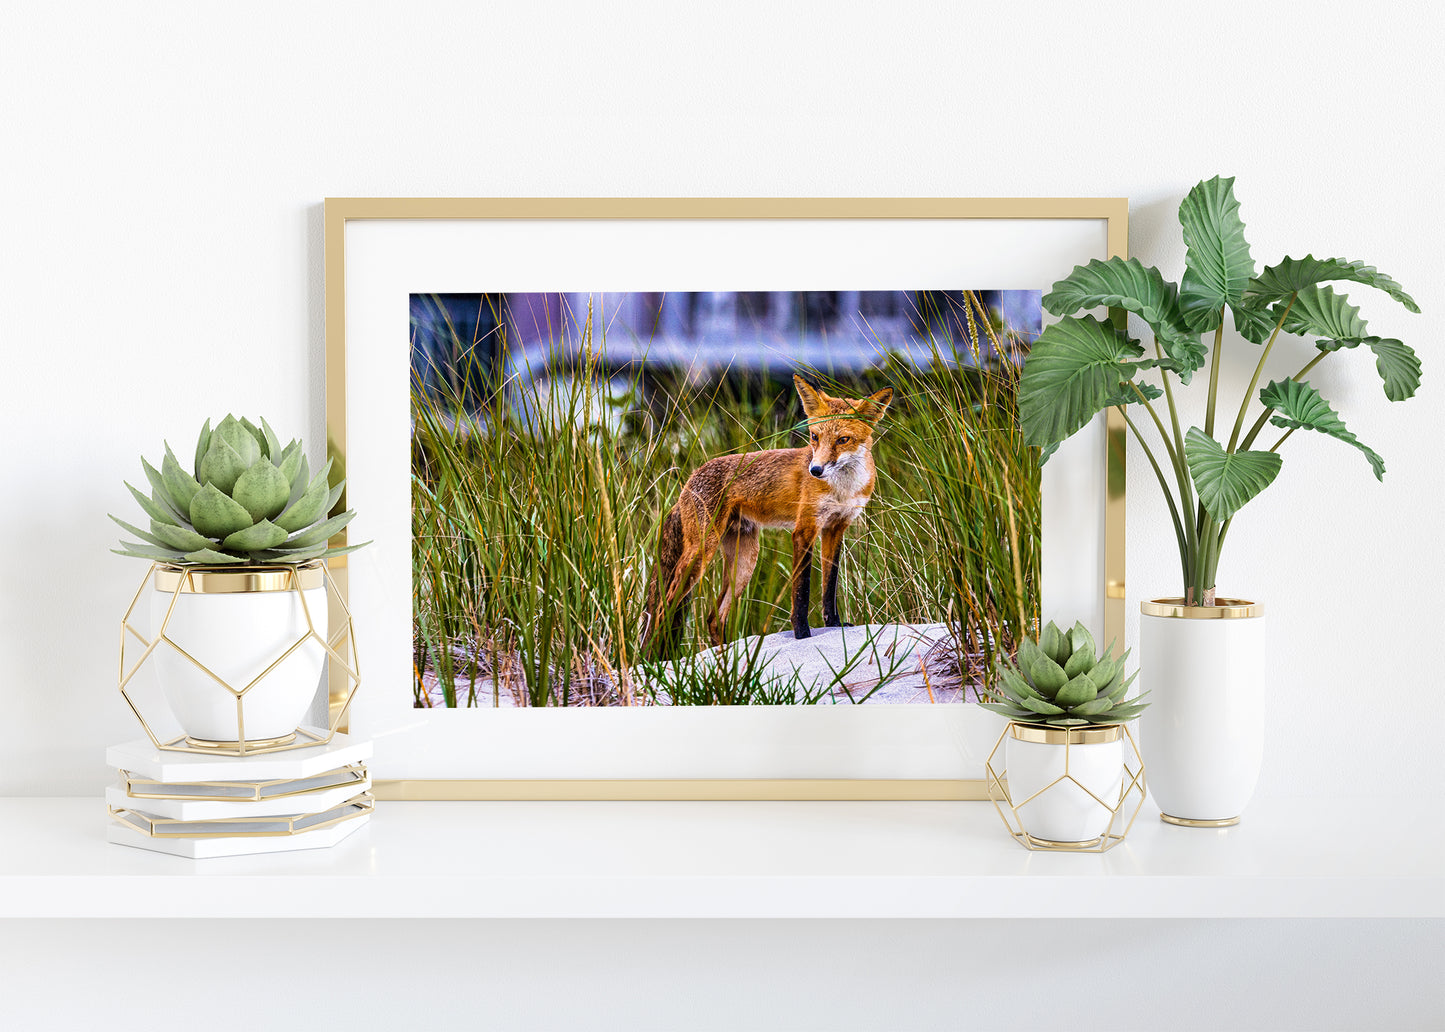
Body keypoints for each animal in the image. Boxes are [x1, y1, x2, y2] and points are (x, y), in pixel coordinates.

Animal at [643, 374, 893, 656]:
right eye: (814, 436)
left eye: (843, 440)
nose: (815, 470)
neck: (842, 488)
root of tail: (687, 483)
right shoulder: (804, 530)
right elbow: (802, 591)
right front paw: (802, 635)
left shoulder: (835, 528)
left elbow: (830, 586)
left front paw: (835, 625)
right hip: (701, 553)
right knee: (662, 610)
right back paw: (655, 659)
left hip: (745, 561)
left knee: (714, 617)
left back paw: (724, 659)